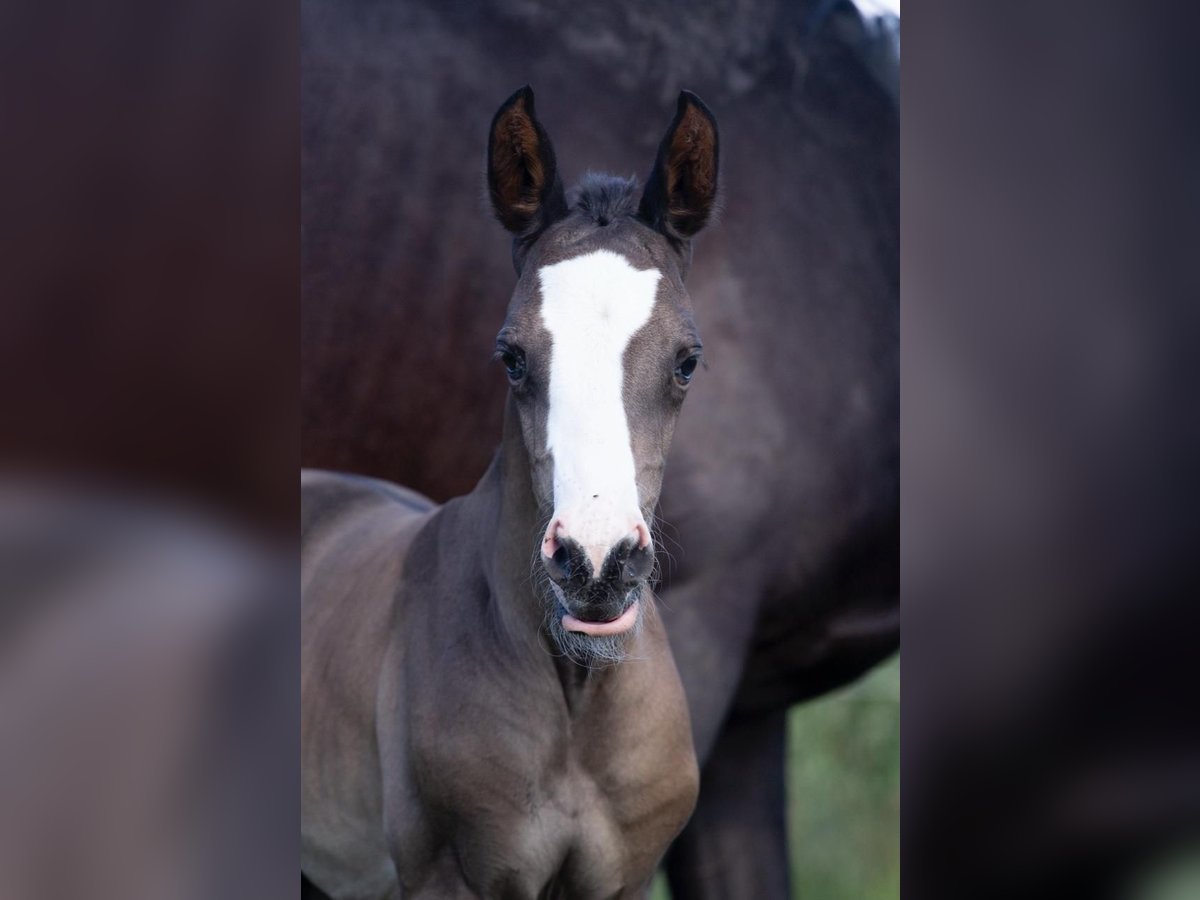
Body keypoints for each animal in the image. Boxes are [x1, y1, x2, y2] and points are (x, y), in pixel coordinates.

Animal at [300, 86, 715, 900]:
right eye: (512, 356)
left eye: (686, 361)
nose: (596, 564)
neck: (577, 696)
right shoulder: (447, 877)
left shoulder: (623, 881)